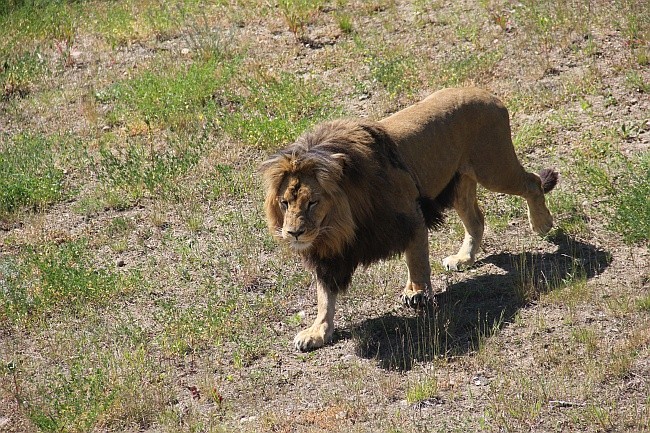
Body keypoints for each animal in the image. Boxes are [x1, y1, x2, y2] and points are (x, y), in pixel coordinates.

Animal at [258, 87, 556, 352]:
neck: (340, 225)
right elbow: (324, 298)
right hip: (460, 183)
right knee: (477, 219)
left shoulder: (410, 217)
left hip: (493, 167)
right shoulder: (330, 256)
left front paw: (417, 293)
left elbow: (417, 260)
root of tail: (488, 94)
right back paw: (464, 258)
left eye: (312, 202)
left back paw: (542, 224)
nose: (294, 233)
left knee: (532, 183)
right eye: (285, 203)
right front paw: (317, 332)